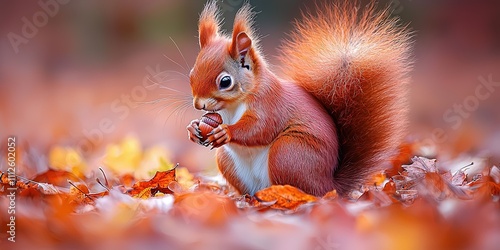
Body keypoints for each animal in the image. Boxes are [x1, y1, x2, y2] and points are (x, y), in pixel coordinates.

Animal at [186, 0, 412, 196]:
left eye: (225, 81)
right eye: (191, 74)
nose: (199, 104)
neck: (233, 106)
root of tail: (330, 186)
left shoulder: (269, 103)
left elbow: (260, 128)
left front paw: (226, 132)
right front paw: (193, 128)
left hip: (288, 153)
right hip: (229, 161)